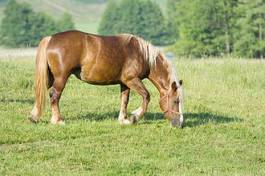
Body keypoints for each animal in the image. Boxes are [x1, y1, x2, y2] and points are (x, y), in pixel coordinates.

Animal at [29, 29, 184, 126]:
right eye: (176, 101)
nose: (180, 124)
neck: (141, 54)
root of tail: (50, 39)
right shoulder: (132, 80)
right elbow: (146, 96)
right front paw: (135, 117)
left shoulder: (125, 83)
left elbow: (124, 100)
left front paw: (123, 119)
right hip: (61, 78)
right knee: (54, 95)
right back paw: (57, 120)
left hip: (50, 78)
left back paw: (34, 117)